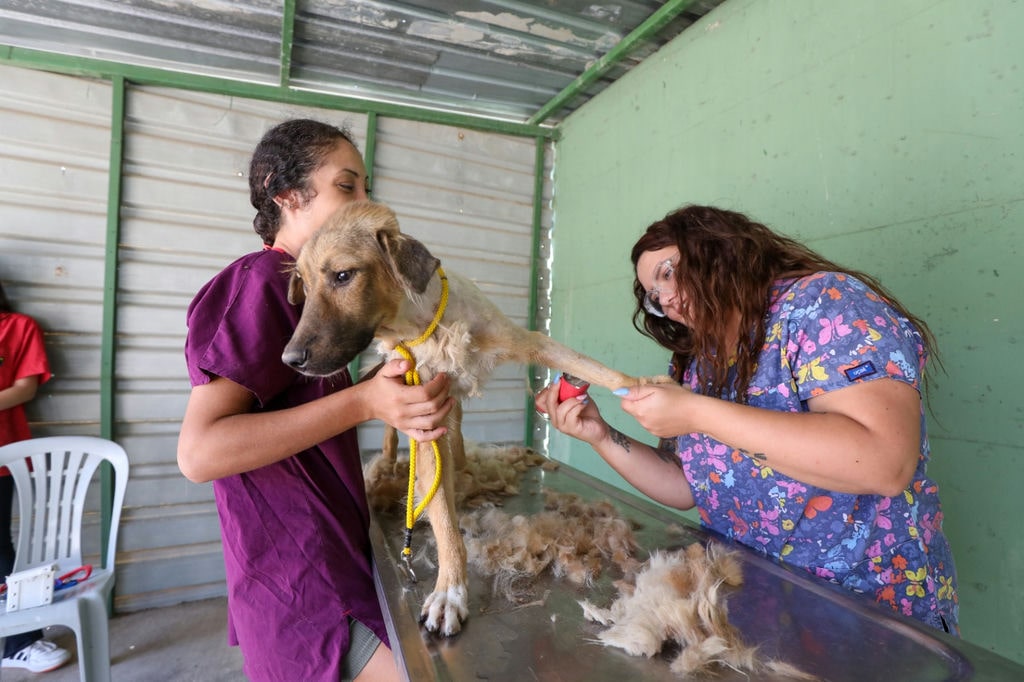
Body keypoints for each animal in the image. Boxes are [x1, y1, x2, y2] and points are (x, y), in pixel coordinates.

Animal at [282, 199, 663, 634]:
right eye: (303, 286)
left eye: (343, 275)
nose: (290, 360)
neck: (423, 326)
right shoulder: (423, 416)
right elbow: (445, 522)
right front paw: (450, 590)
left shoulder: (527, 341)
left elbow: (593, 367)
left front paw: (645, 389)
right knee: (395, 435)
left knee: (460, 428)